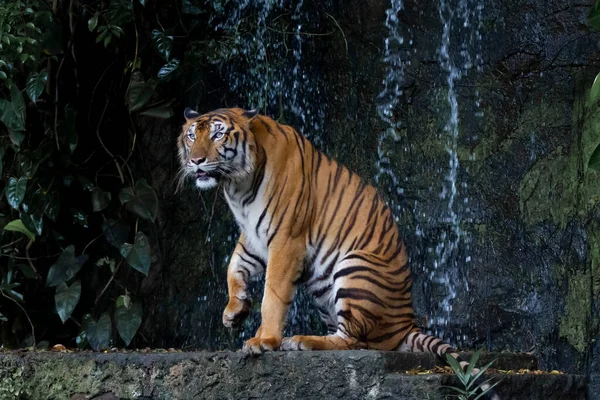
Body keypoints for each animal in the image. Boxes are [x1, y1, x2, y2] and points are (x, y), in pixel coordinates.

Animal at [178, 107, 502, 400]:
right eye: (192, 136)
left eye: (218, 134)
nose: (196, 160)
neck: (237, 187)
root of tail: (406, 323)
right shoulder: (253, 238)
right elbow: (233, 267)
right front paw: (234, 311)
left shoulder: (286, 240)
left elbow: (273, 295)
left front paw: (264, 340)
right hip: (324, 289)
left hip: (354, 266)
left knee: (355, 342)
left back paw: (300, 341)